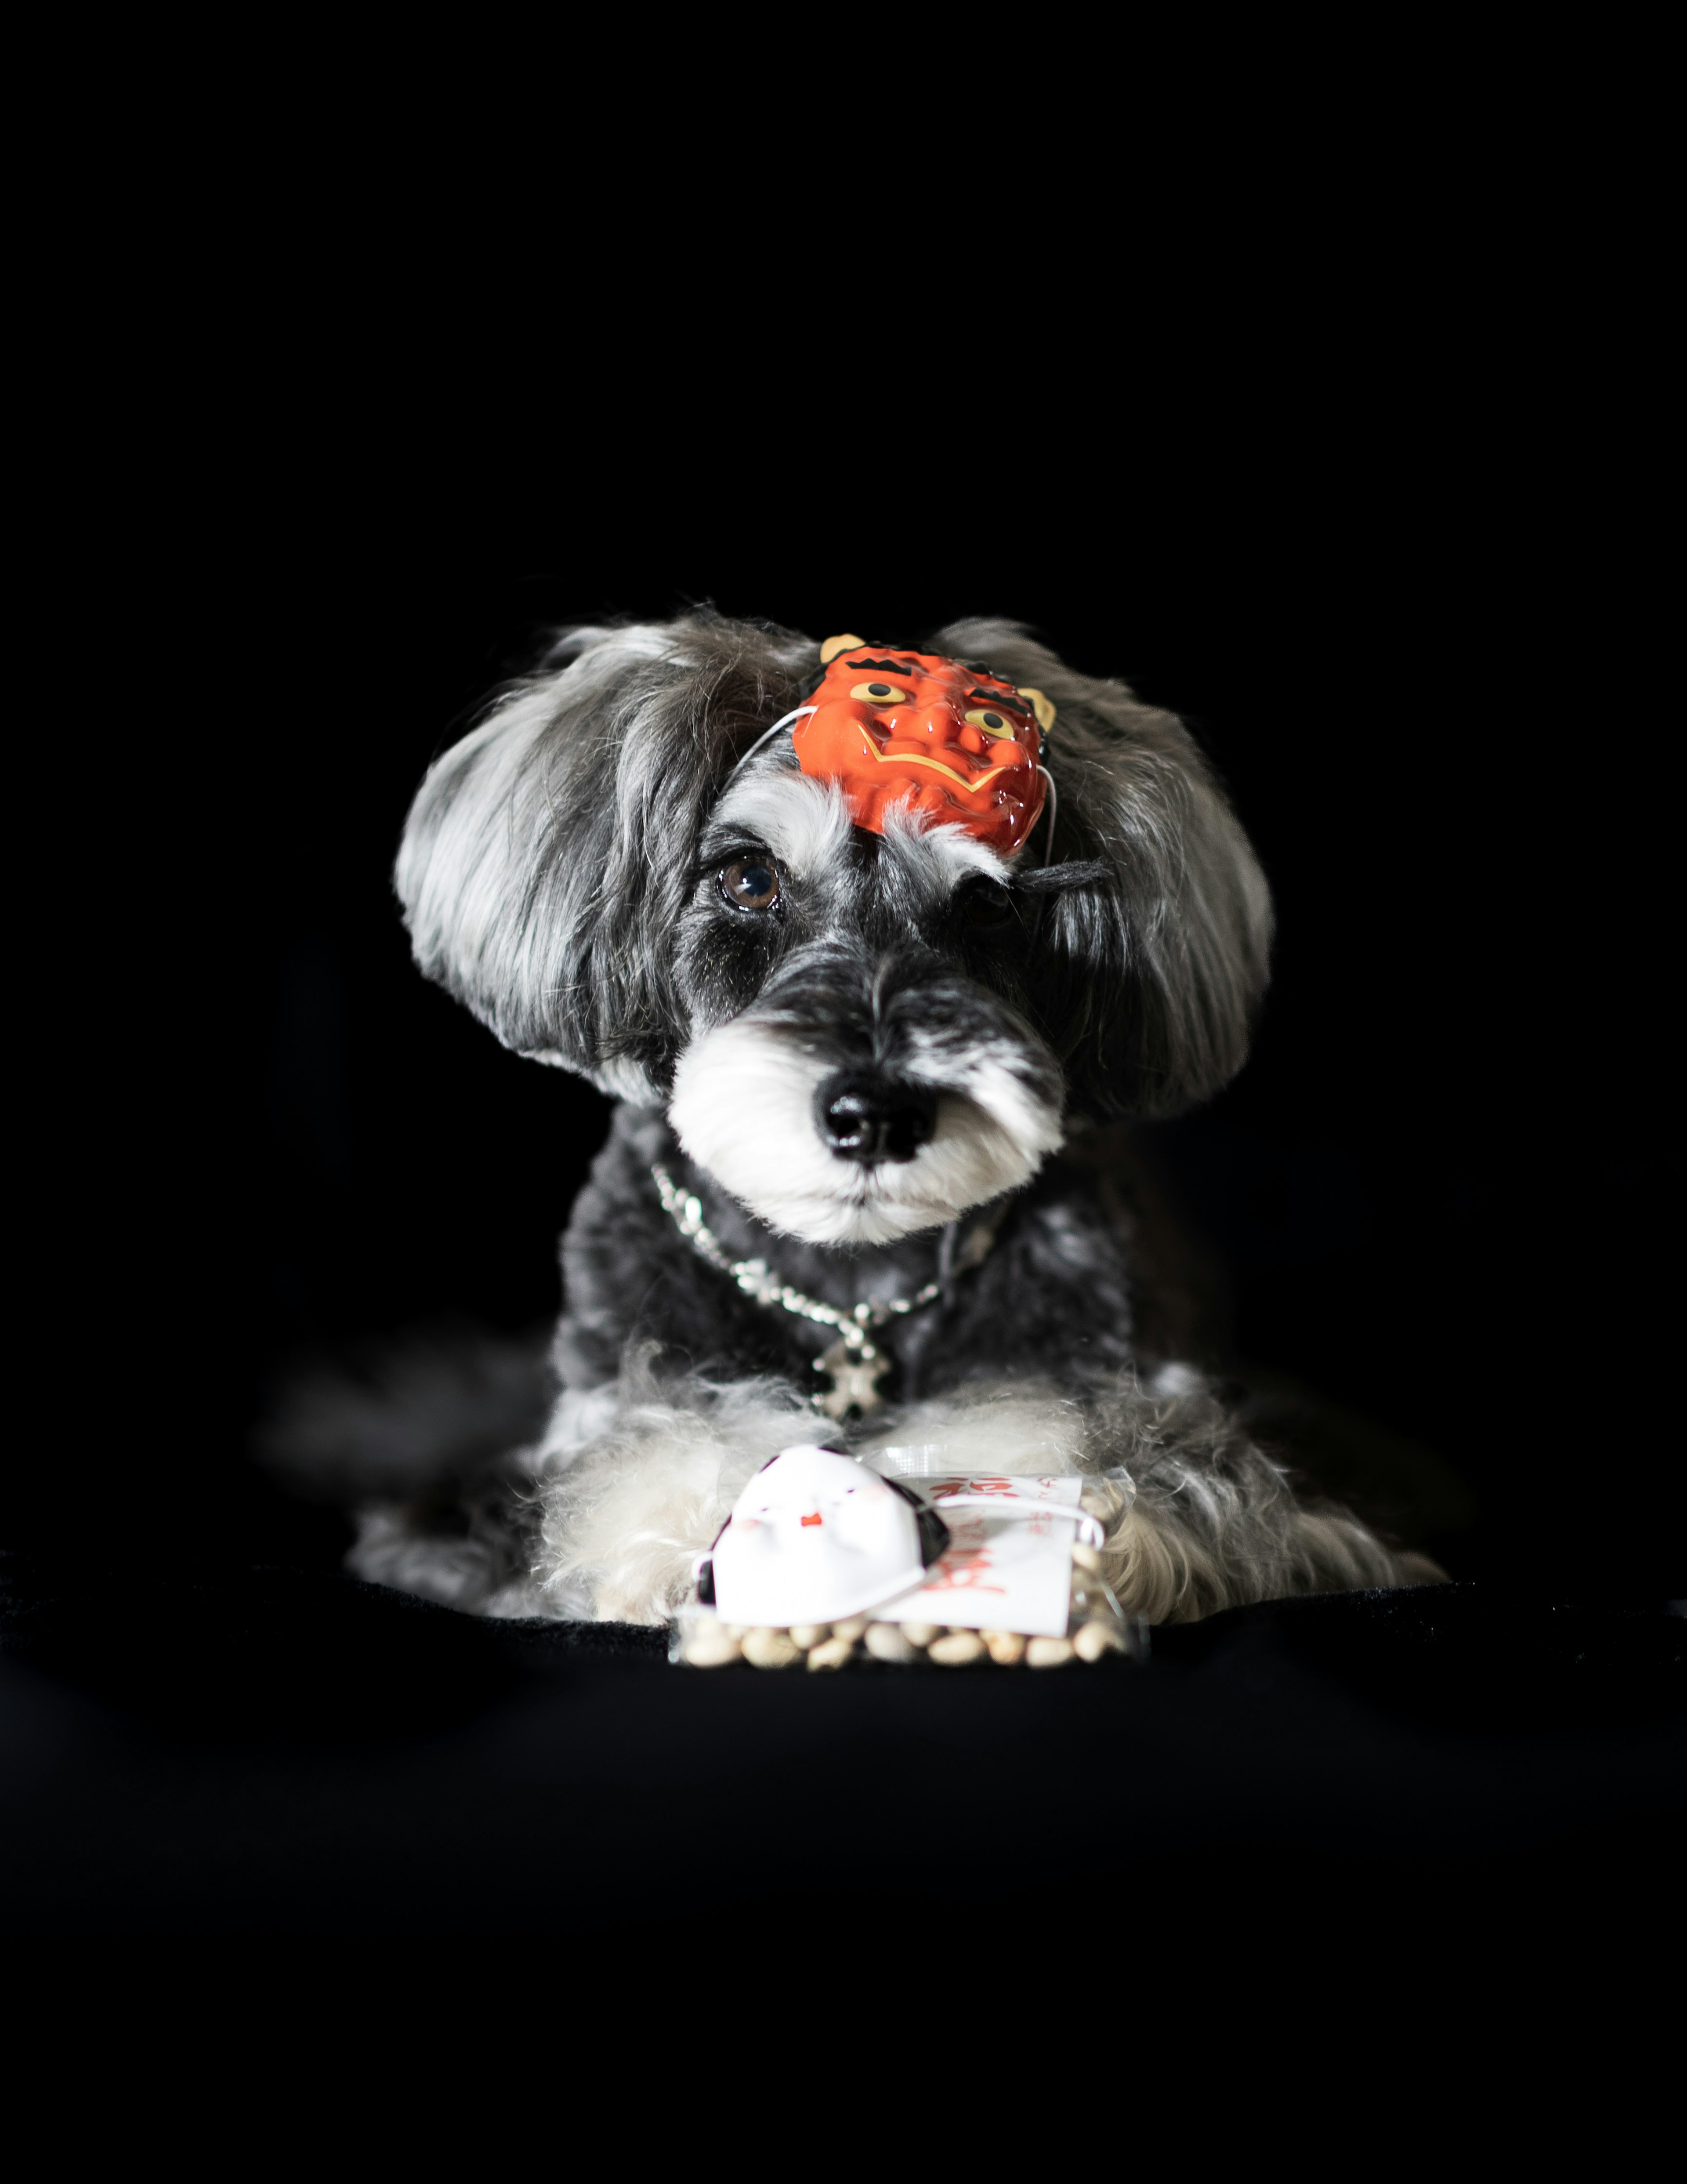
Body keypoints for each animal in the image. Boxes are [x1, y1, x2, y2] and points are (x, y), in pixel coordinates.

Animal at [279, 611, 1431, 1625]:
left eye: (989, 905)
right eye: (748, 877)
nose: (874, 1116)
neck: (849, 1286)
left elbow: (1151, 1466)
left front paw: (1088, 1527)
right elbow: (634, 1458)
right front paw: (701, 1529)